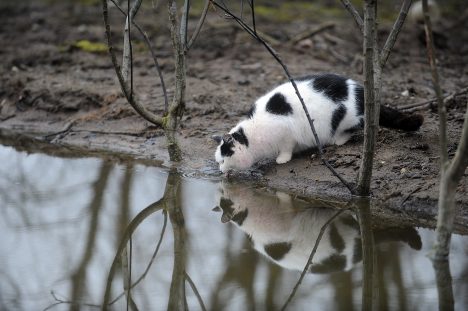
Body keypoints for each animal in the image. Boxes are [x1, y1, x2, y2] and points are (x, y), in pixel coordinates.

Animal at [213, 74, 424, 174]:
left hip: (345, 117)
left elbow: (286, 148)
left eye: (223, 160)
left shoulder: (286, 132)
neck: (253, 132)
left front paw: (283, 159)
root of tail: (362, 92)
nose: (221, 171)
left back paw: (337, 140)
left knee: (352, 127)